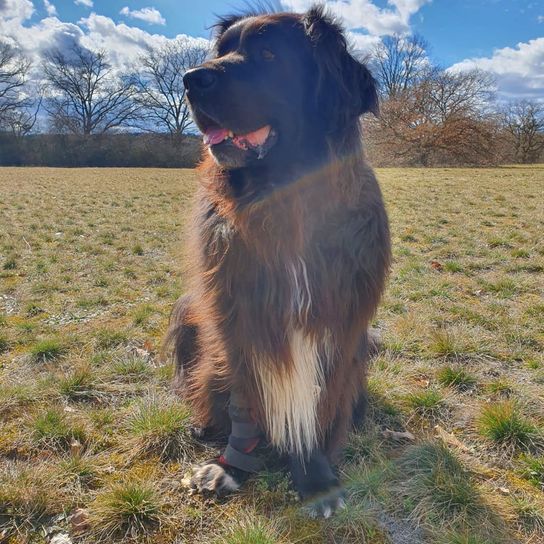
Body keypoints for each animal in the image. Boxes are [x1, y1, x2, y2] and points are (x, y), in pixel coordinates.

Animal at [166, 3, 392, 516]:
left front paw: (314, 475)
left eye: (268, 55)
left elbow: (318, 399)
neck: (284, 204)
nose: (190, 78)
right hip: (190, 312)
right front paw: (231, 467)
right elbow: (245, 400)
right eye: (222, 51)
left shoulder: (339, 320)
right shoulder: (236, 316)